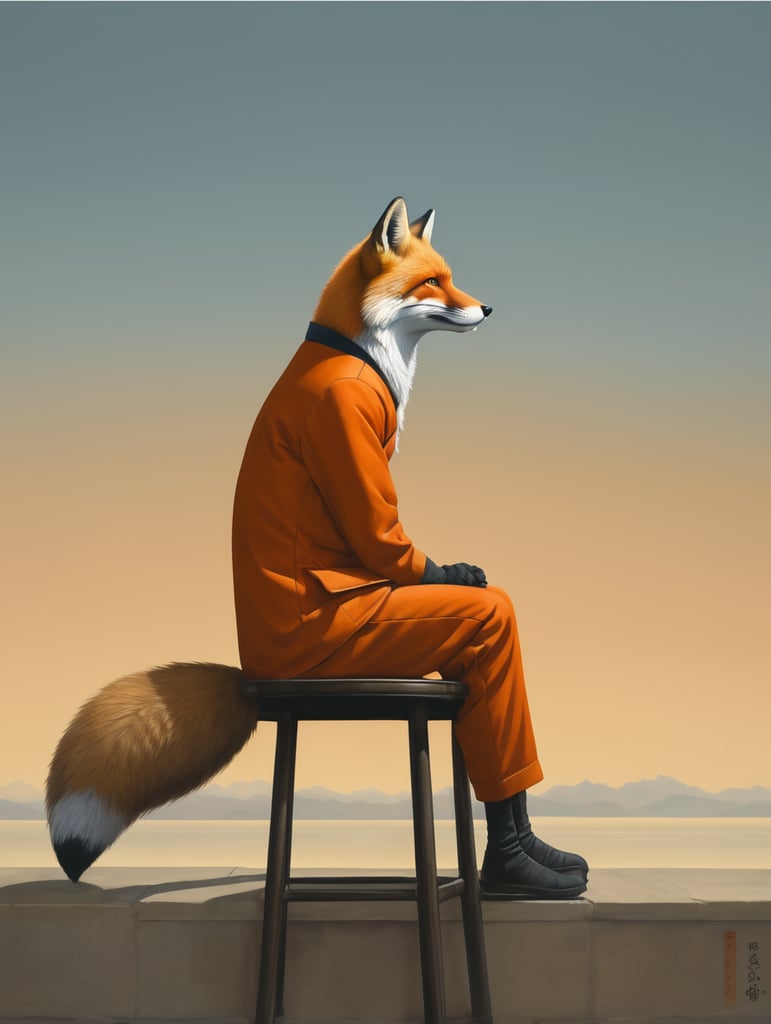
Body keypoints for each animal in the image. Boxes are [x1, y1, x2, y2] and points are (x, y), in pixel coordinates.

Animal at [46, 197, 493, 883]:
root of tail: (258, 673)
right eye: (432, 283)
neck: (357, 350)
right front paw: (458, 571)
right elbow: (384, 534)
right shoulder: (357, 456)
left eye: (450, 278)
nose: (487, 309)